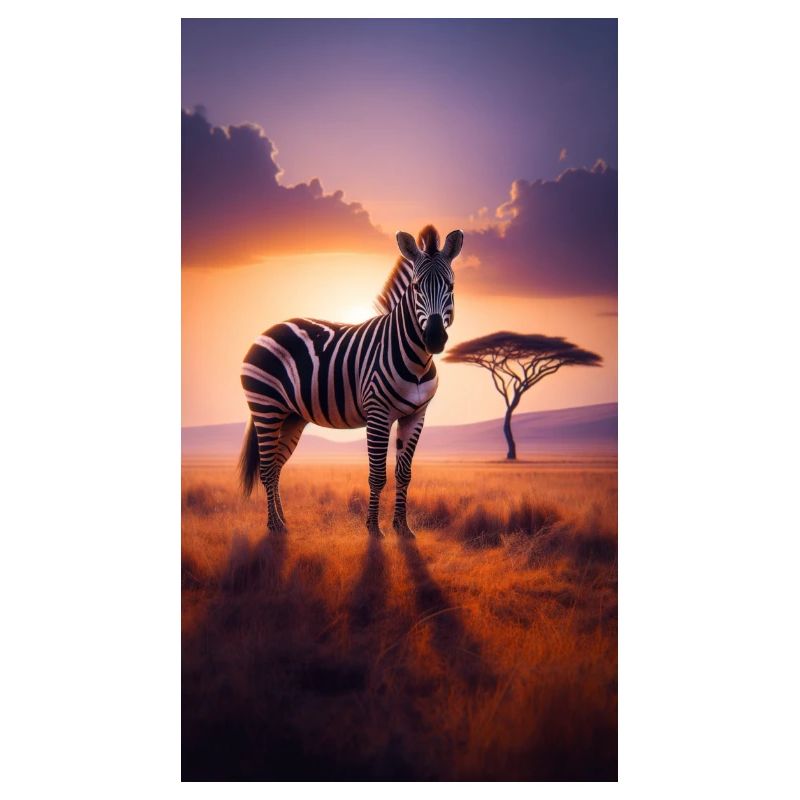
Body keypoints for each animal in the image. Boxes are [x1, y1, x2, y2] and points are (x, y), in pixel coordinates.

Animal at [239, 224, 463, 538]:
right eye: (417, 287)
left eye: (451, 287)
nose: (434, 338)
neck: (417, 359)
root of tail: (269, 330)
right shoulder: (377, 413)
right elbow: (378, 475)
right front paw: (374, 530)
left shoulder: (416, 415)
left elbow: (404, 474)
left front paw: (402, 528)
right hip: (266, 408)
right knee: (267, 468)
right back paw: (274, 527)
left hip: (291, 416)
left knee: (277, 466)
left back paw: (284, 522)